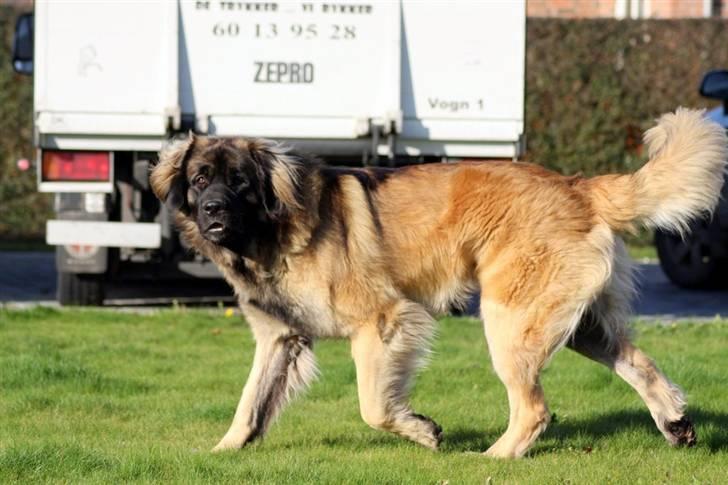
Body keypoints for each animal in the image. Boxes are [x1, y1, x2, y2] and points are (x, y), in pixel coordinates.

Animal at [151, 108, 724, 458]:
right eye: (200, 179)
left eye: (240, 182)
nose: (212, 210)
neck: (272, 230)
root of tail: (578, 187)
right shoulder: (280, 337)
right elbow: (251, 401)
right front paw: (223, 452)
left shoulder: (385, 320)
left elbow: (373, 405)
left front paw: (422, 431)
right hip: (575, 323)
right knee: (639, 364)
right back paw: (675, 423)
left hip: (510, 320)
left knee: (534, 407)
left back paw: (495, 457)